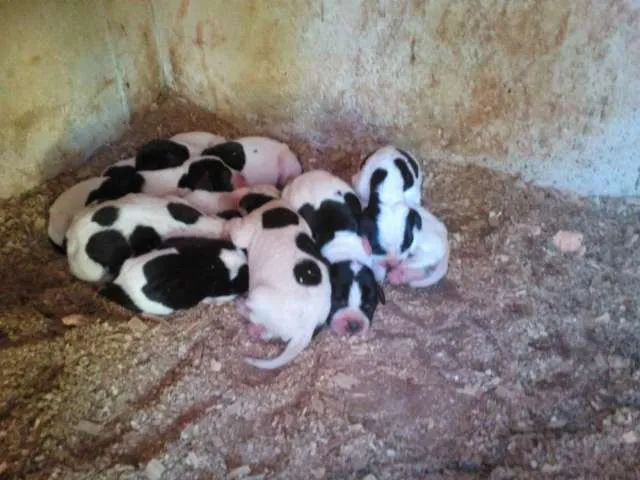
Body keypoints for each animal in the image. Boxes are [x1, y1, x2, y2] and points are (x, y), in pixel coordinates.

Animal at [225, 199, 332, 372]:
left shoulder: (246, 227)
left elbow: (235, 228)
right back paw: (255, 331)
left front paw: (226, 225)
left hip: (258, 296)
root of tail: (306, 329)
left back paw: (241, 308)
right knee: (268, 332)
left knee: (254, 316)